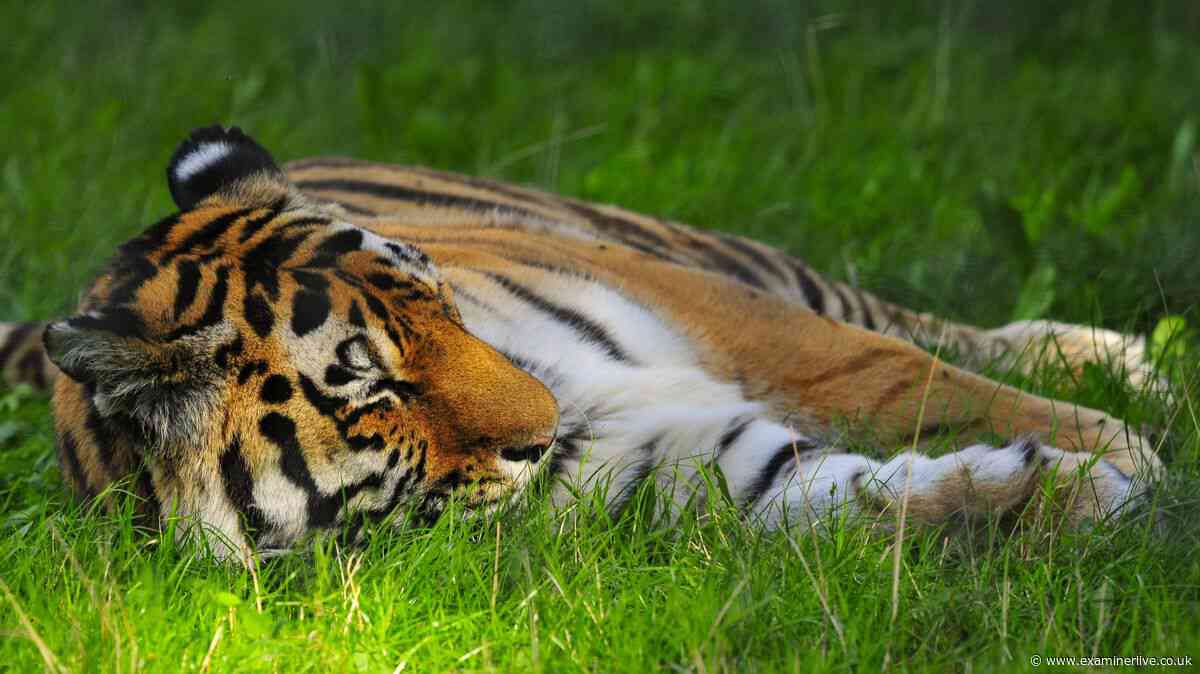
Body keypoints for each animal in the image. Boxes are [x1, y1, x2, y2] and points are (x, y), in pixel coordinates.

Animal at [0, 125, 1166, 559]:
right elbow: (858, 497)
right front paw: (1078, 489)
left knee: (915, 323)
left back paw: (1130, 362)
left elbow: (893, 376)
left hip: (712, 254)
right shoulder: (696, 469)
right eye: (371, 388)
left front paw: (1117, 449)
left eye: (443, 308)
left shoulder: (722, 311)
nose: (545, 425)